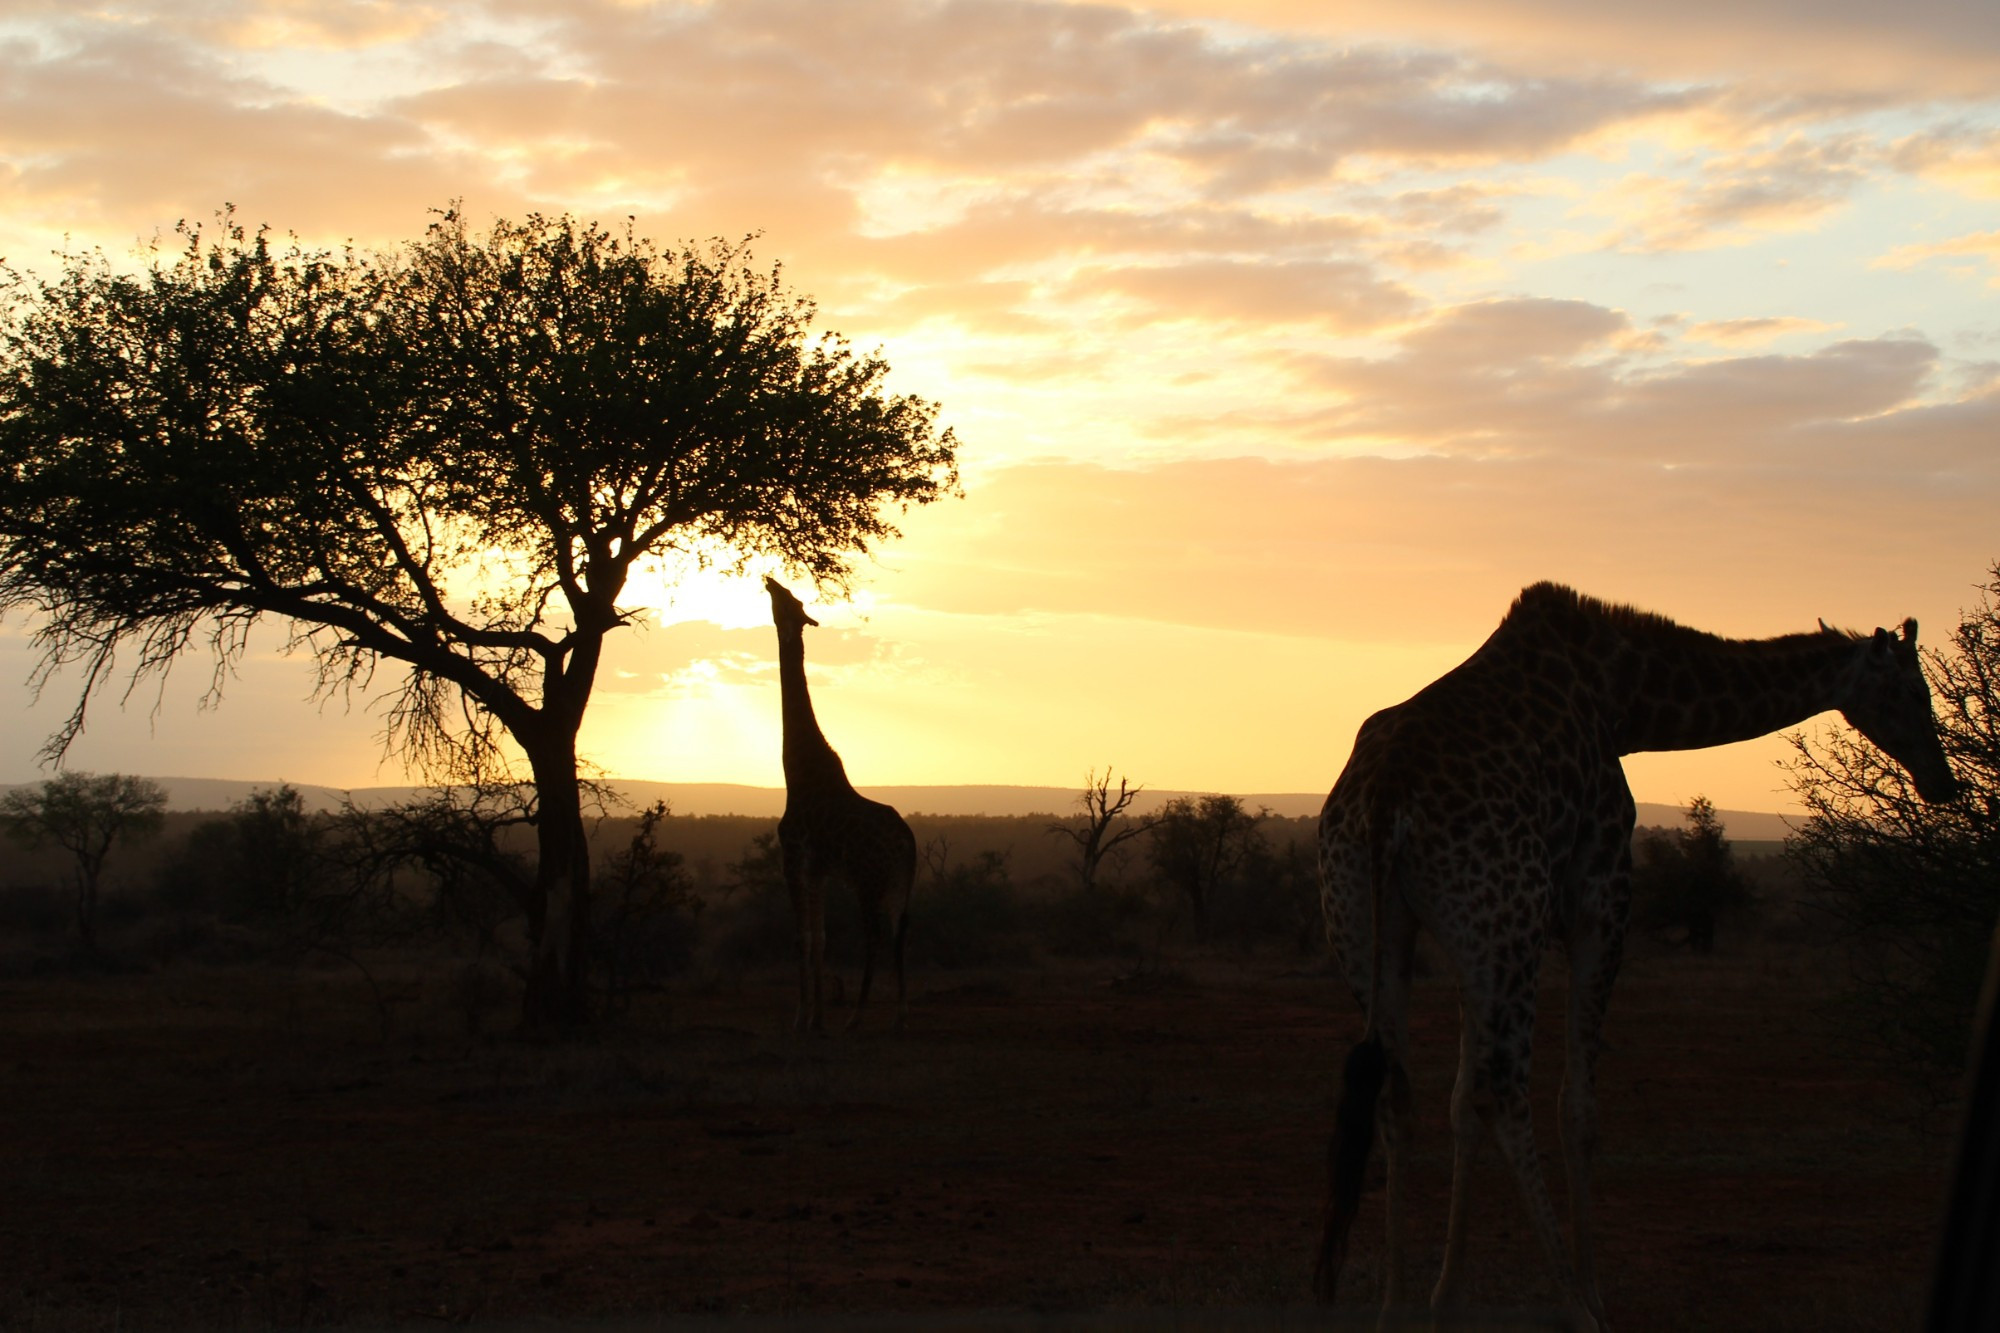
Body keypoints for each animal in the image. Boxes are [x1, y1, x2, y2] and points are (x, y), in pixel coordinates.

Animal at [764, 576, 920, 1032]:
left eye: (789, 600)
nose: (770, 580)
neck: (797, 771)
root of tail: (907, 843)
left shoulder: (794, 858)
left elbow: (802, 937)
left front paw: (801, 1018)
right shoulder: (819, 869)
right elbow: (820, 938)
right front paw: (816, 1017)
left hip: (869, 878)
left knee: (874, 934)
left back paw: (855, 1016)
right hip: (900, 881)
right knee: (900, 931)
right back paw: (900, 1014)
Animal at [1312, 580, 1952, 1328]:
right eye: (1913, 691)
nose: (1944, 782)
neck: (1625, 699)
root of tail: (1385, 799)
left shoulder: (1472, 939)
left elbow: (1458, 1102)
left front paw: (1447, 1298)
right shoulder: (1600, 896)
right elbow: (1578, 1109)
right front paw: (1591, 1293)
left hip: (1375, 929)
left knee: (1403, 1091)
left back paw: (1392, 1305)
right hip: (1507, 921)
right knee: (1505, 1093)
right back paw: (1576, 1306)